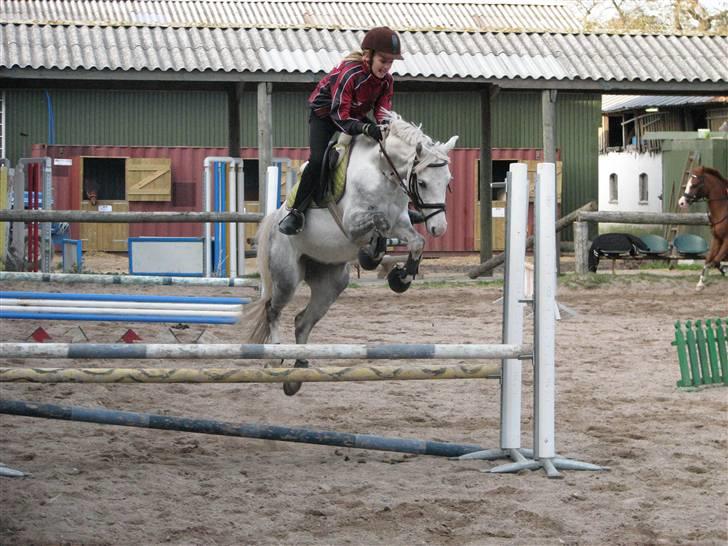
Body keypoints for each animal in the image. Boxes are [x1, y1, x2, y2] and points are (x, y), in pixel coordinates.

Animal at [243, 111, 458, 395]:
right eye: (421, 182)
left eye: (447, 182)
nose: (439, 228)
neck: (383, 171)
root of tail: (273, 219)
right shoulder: (353, 222)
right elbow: (379, 220)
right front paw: (372, 255)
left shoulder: (402, 222)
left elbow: (417, 242)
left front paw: (401, 278)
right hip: (287, 277)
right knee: (272, 309)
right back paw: (277, 355)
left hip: (331, 283)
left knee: (302, 321)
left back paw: (298, 369)